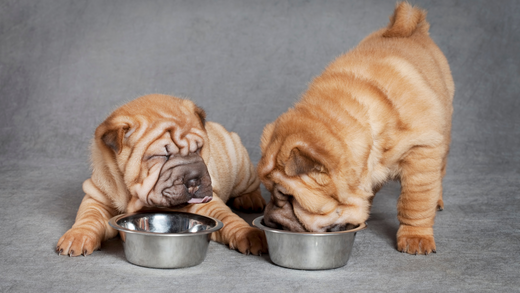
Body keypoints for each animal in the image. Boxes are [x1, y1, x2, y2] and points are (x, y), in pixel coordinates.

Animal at [57, 94, 268, 256]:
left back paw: (250, 199)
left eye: (198, 149)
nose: (194, 179)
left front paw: (249, 234)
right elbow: (89, 217)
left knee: (249, 186)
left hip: (241, 166)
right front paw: (77, 237)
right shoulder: (97, 197)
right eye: (162, 156)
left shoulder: (207, 204)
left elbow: (227, 217)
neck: (133, 197)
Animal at [258, 1, 452, 253]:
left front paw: (415, 237)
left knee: (439, 173)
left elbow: (415, 202)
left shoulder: (421, 151)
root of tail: (414, 30)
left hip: (443, 135)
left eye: (287, 197)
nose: (269, 221)